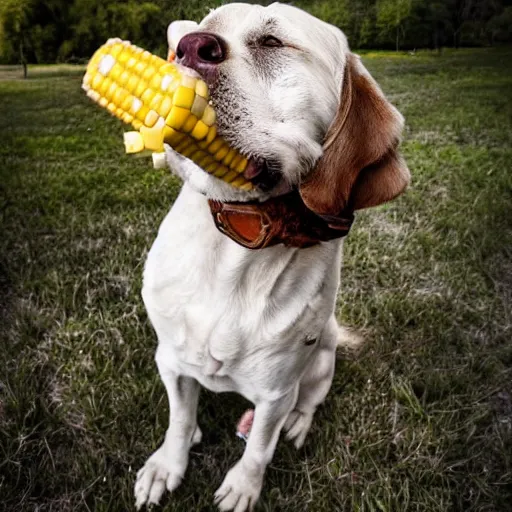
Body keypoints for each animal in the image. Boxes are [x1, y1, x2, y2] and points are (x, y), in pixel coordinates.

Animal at [134, 2, 410, 510]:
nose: (189, 47)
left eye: (272, 42)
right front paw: (167, 466)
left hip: (320, 362)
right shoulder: (171, 361)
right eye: (201, 30)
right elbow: (179, 421)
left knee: (309, 402)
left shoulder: (276, 390)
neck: (234, 248)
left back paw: (298, 425)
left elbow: (259, 448)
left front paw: (244, 487)